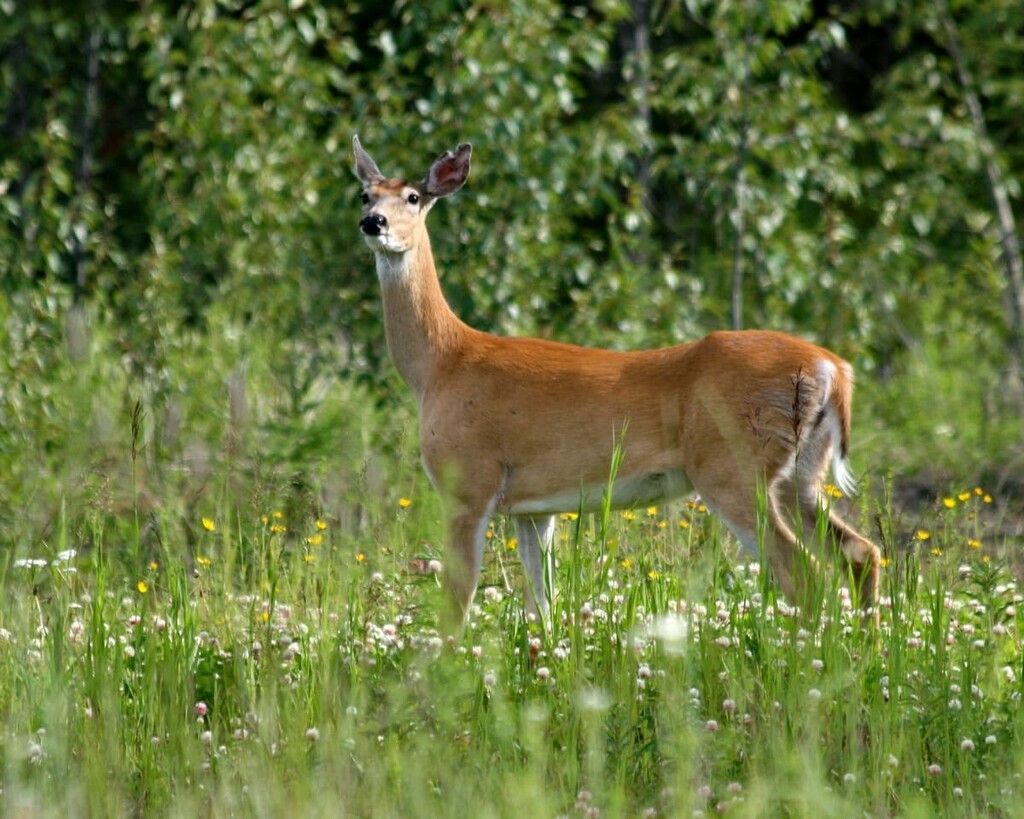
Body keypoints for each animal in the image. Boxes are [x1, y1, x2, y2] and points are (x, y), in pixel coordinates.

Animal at [352, 135, 881, 636]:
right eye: (365, 195)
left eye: (414, 197)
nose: (373, 222)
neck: (441, 365)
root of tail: (834, 370)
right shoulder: (532, 509)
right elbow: (542, 606)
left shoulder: (467, 480)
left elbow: (455, 607)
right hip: (799, 474)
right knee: (861, 552)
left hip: (733, 465)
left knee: (803, 573)